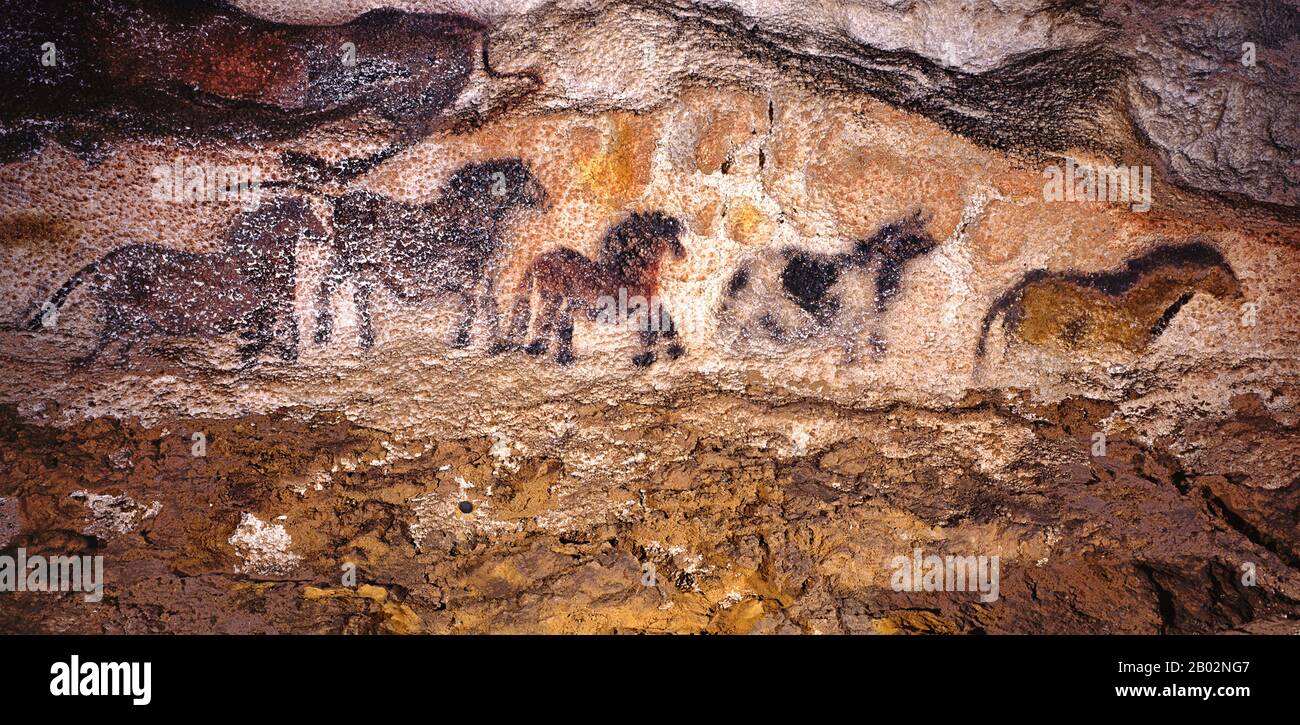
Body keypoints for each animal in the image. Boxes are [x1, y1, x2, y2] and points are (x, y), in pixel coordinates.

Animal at [27, 196, 325, 368]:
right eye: (306, 213)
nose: (323, 234)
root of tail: (102, 262)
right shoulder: (264, 308)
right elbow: (273, 332)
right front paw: (259, 355)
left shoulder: (267, 310)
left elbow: (276, 331)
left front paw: (266, 355)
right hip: (128, 312)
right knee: (110, 334)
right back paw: (92, 361)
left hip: (137, 318)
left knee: (119, 336)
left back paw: (114, 361)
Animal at [317, 159, 546, 353]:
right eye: (527, 178)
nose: (546, 200)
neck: (471, 217)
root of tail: (337, 202)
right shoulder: (469, 275)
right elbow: (478, 304)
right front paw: (466, 340)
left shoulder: (477, 275)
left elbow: (487, 304)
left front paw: (491, 342)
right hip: (352, 263)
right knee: (331, 288)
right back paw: (325, 333)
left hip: (358, 266)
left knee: (349, 293)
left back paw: (362, 339)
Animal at [504, 210, 691, 368]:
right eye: (668, 229)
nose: (682, 252)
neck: (634, 267)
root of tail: (540, 258)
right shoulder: (645, 304)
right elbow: (653, 330)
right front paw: (648, 358)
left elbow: (664, 324)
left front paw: (673, 351)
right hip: (554, 299)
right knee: (545, 321)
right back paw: (549, 353)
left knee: (548, 322)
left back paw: (547, 352)